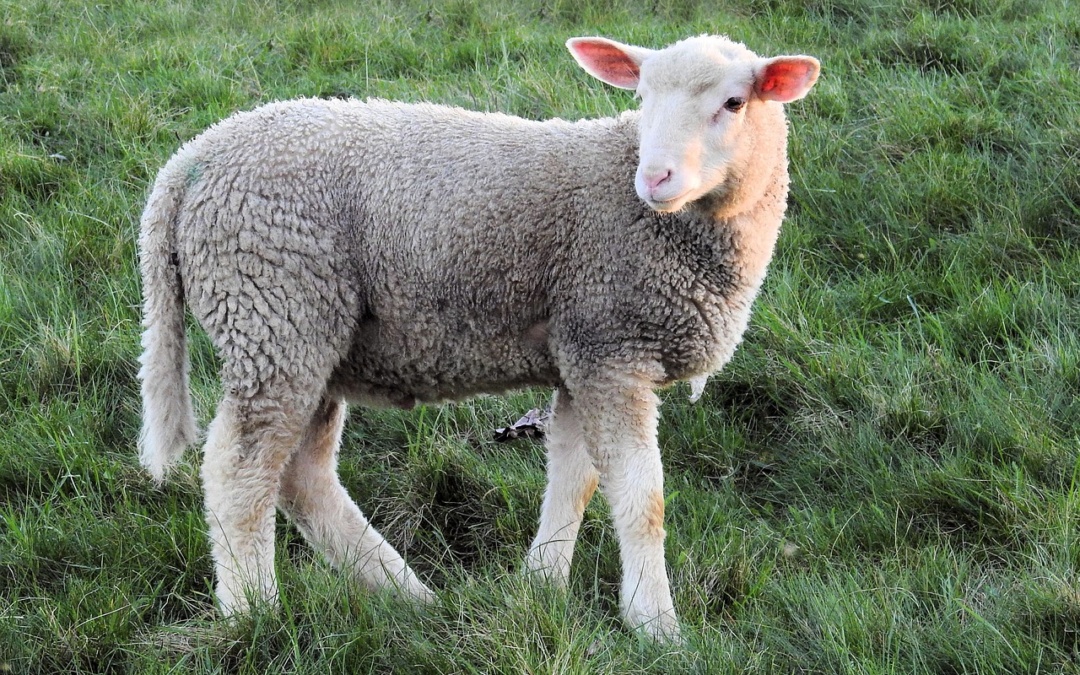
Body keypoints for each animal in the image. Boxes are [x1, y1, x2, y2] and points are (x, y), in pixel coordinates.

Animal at [137, 33, 819, 641]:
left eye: (734, 103)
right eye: (643, 95)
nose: (655, 178)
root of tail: (183, 168)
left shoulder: (581, 347)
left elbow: (573, 479)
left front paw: (541, 586)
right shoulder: (611, 347)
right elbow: (639, 496)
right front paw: (655, 625)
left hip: (308, 335)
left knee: (303, 477)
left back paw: (405, 594)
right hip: (273, 311)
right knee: (240, 474)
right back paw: (255, 614)